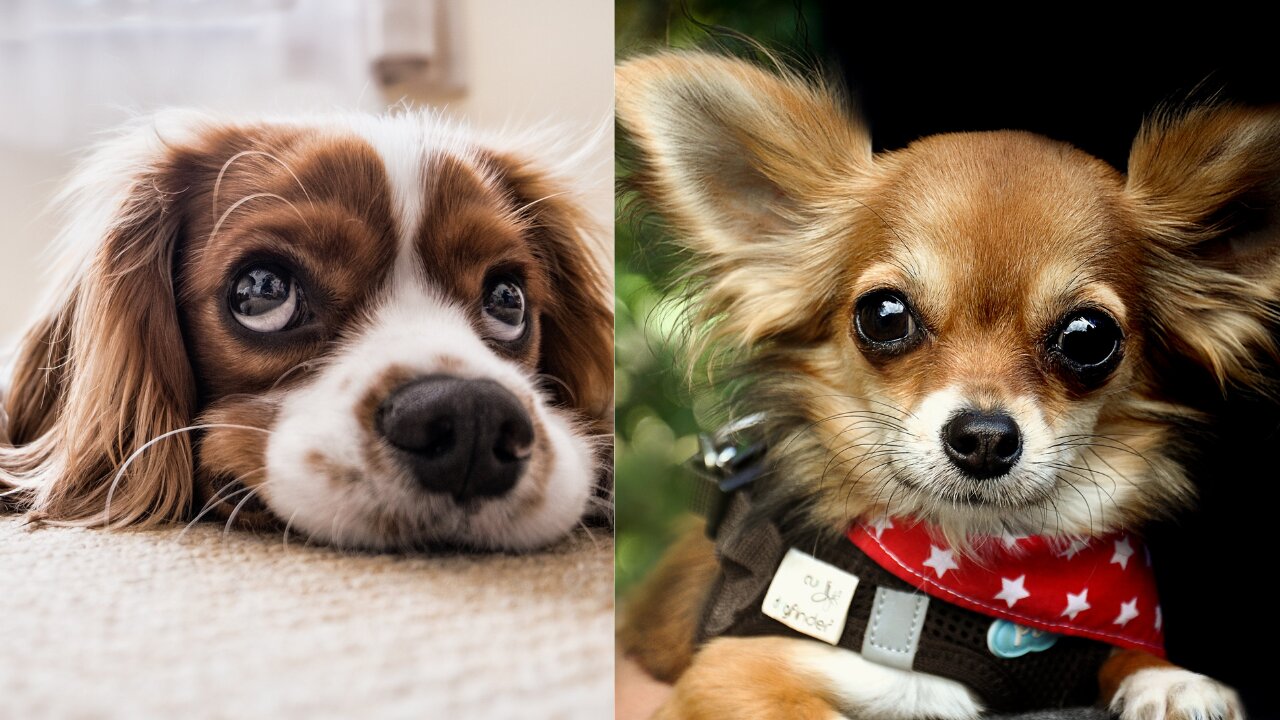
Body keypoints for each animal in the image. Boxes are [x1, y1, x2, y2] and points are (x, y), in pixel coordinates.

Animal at [616, 51, 1269, 717]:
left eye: (1089, 336)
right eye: (884, 316)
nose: (983, 437)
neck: (986, 579)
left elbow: (1124, 653)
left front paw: (1168, 678)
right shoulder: (729, 672)